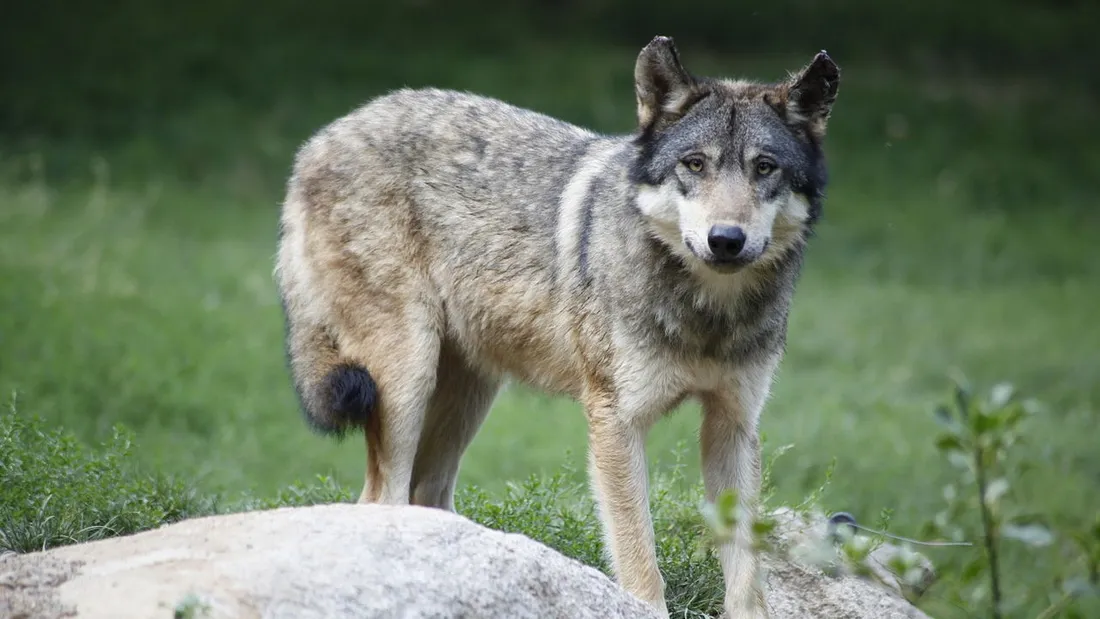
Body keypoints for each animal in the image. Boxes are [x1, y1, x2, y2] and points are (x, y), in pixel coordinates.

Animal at [274, 35, 839, 618]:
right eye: (695, 164)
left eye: (765, 168)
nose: (725, 239)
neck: (706, 314)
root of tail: (319, 139)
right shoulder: (617, 423)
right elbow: (641, 564)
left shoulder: (733, 425)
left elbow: (747, 574)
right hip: (406, 380)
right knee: (378, 498)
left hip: (469, 396)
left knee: (425, 496)